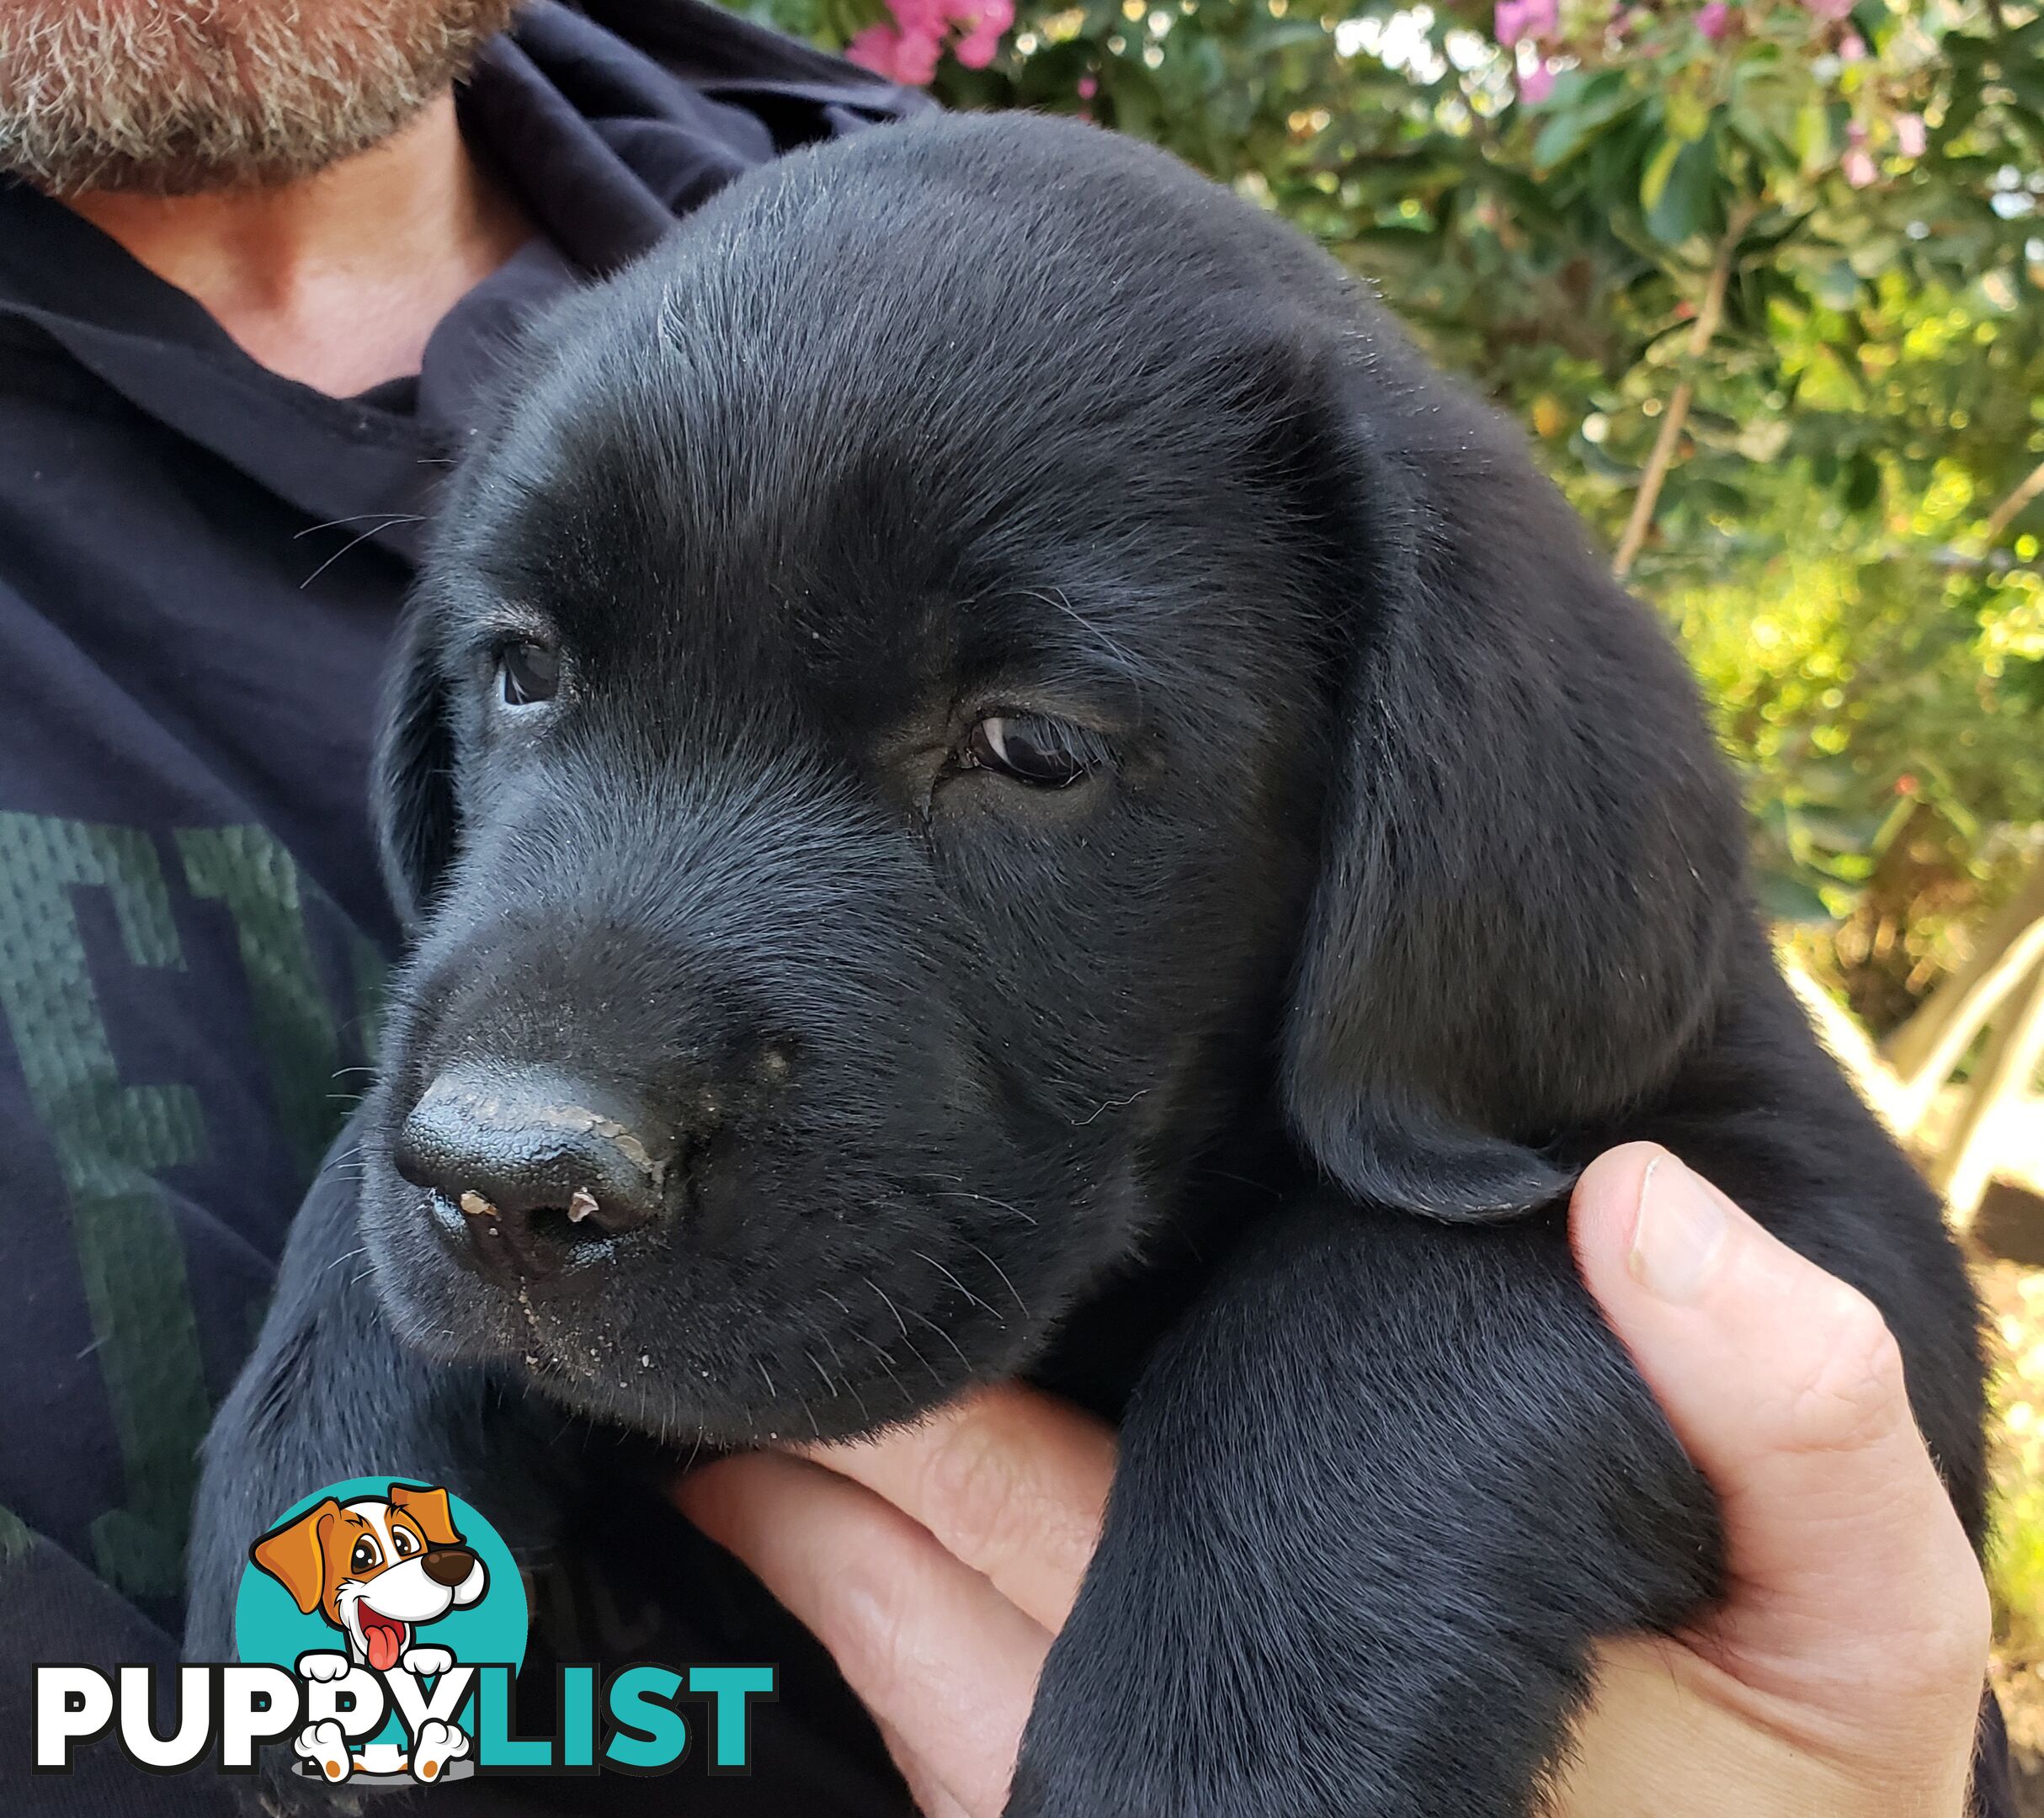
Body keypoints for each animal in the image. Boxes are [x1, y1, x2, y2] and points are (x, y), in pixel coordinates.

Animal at [192, 113, 1978, 1814]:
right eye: (523, 672)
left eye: (1032, 749)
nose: (510, 1181)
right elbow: (367, 1156)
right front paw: (321, 1450)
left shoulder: (1801, 1213)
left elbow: (1403, 1291)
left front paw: (1219, 1745)